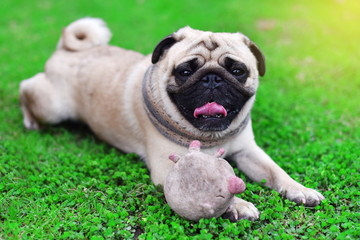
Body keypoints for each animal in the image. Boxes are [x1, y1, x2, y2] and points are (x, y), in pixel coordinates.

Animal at [19, 18, 324, 221]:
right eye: (186, 71)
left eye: (237, 71)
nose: (212, 79)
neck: (208, 137)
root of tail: (67, 48)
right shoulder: (169, 169)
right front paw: (237, 204)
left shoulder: (248, 151)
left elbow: (276, 172)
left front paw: (300, 189)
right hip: (52, 107)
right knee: (26, 87)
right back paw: (29, 120)